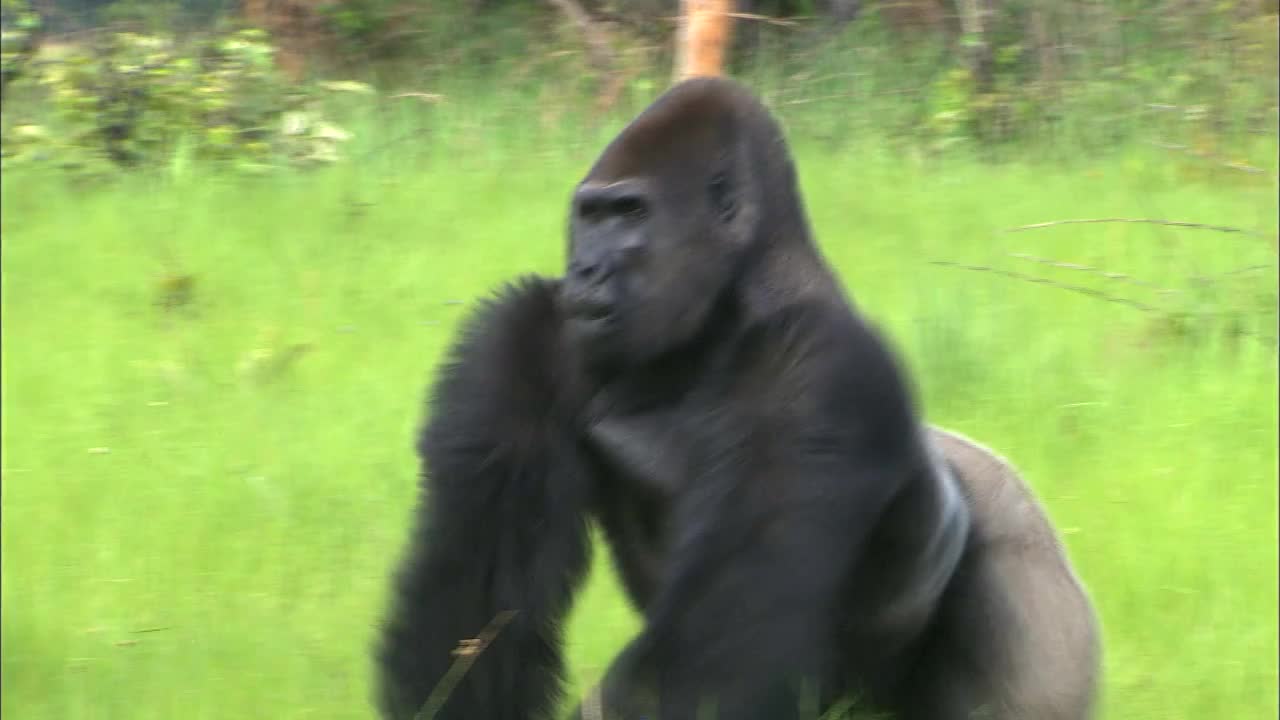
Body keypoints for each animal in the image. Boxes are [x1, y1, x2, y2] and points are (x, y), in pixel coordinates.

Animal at [373, 77, 1100, 717]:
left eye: (630, 214)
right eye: (589, 215)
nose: (585, 270)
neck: (723, 315)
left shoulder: (821, 365)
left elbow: (713, 652)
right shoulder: (531, 329)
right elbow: (479, 601)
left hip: (1030, 573)